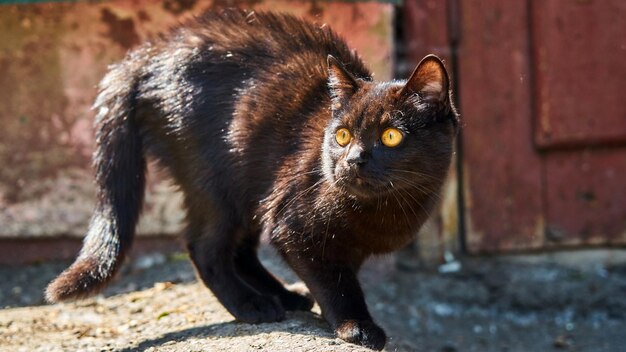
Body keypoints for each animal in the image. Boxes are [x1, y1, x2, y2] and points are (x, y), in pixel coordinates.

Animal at [46, 8, 456, 350]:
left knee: (239, 249)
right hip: (217, 183)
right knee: (204, 248)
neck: (385, 209)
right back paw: (251, 306)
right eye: (342, 135)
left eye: (391, 136)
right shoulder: (294, 226)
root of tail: (146, 54)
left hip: (247, 188)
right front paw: (356, 326)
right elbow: (336, 283)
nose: (353, 159)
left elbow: (337, 275)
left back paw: (285, 296)